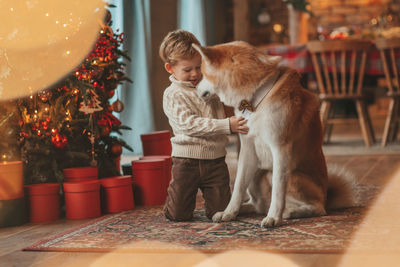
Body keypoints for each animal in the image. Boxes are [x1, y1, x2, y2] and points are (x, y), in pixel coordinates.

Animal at [192, 41, 358, 228]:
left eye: (202, 73)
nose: (194, 87)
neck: (254, 102)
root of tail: (327, 197)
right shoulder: (247, 150)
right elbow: (238, 187)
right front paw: (229, 212)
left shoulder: (280, 149)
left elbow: (278, 191)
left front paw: (273, 217)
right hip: (257, 174)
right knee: (257, 204)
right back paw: (245, 209)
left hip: (278, 175)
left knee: (317, 208)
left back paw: (289, 212)